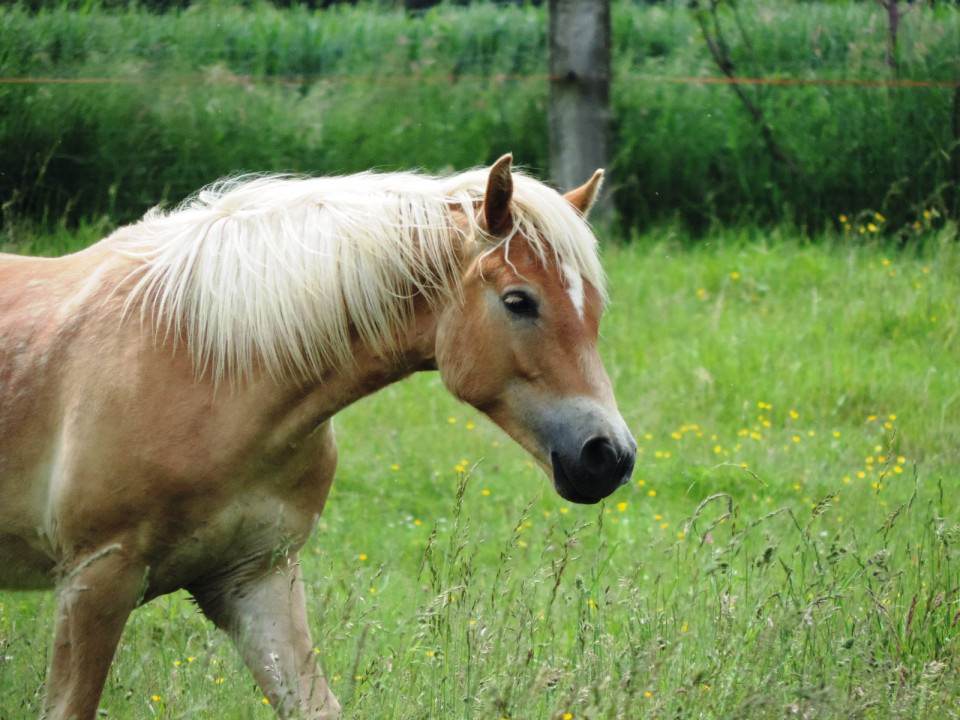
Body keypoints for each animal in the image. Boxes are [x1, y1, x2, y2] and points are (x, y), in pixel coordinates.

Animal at [0, 155, 636, 716]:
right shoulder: (96, 579)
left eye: (596, 308)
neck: (204, 365)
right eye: (518, 301)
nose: (610, 456)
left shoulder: (257, 579)